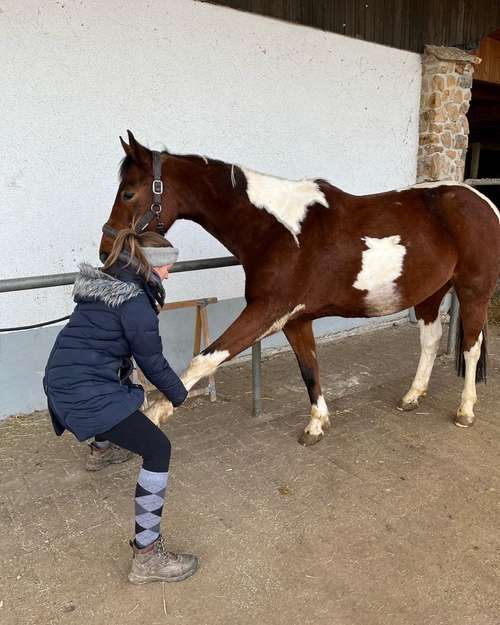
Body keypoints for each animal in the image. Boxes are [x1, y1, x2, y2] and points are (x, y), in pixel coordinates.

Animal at [99, 132, 498, 444]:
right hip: (430, 293)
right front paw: (317, 424)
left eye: (128, 193)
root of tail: (483, 202)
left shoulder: (266, 312)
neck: (279, 232)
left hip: (473, 291)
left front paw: (157, 412)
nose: (105, 251)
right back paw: (413, 396)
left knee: (471, 346)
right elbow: (309, 368)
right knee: (430, 341)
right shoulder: (295, 320)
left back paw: (465, 410)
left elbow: (205, 358)